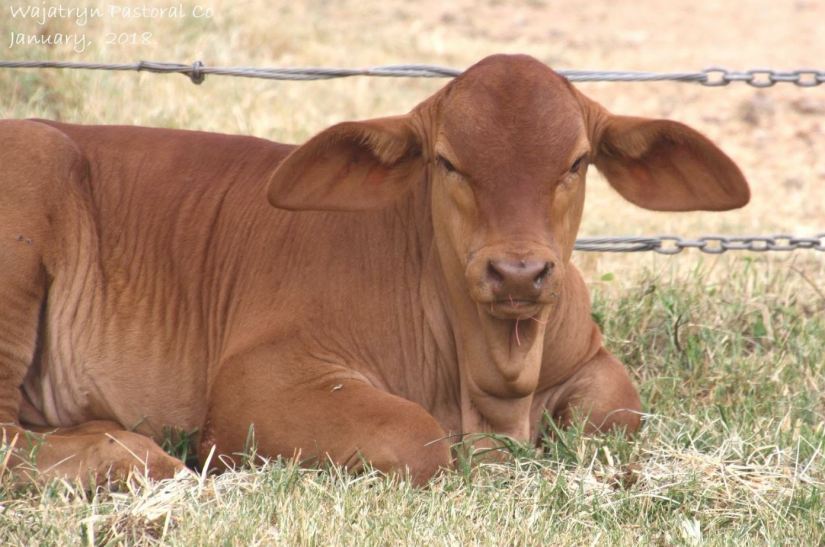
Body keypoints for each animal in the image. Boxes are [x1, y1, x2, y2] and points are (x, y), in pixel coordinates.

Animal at [0, 54, 749, 486]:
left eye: (576, 161)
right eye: (447, 162)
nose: (517, 274)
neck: (490, 378)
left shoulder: (587, 358)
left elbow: (616, 411)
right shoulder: (254, 381)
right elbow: (420, 438)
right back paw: (130, 455)